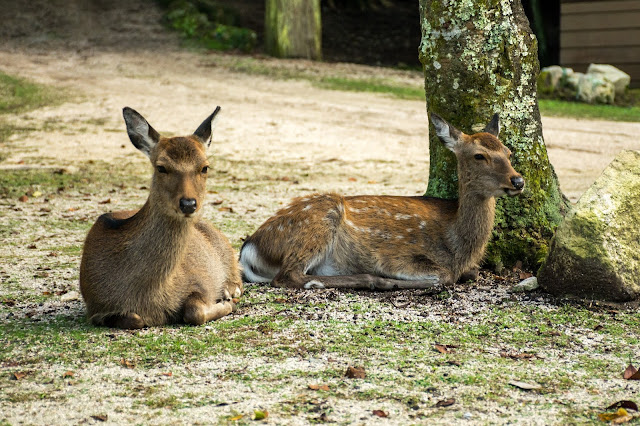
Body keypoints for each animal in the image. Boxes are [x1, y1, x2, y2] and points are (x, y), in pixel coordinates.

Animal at [78, 107, 242, 330]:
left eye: (205, 167)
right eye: (161, 167)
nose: (188, 204)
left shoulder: (199, 280)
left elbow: (195, 311)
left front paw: (226, 301)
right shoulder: (96, 308)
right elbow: (133, 319)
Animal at [240, 111, 524, 292]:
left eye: (508, 152)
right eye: (479, 155)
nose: (518, 181)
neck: (457, 245)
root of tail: (249, 247)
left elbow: (471, 272)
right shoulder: (395, 256)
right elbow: (444, 276)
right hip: (318, 221)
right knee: (287, 275)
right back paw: (369, 280)